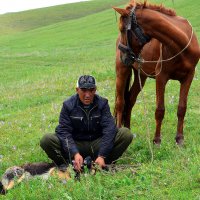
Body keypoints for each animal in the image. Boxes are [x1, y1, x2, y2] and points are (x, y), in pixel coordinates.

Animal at [113, 0, 199, 144]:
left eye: (122, 29)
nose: (123, 57)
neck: (181, 43)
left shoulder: (188, 77)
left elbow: (182, 108)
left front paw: (179, 138)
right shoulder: (161, 77)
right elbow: (160, 110)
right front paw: (157, 140)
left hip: (141, 76)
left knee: (130, 100)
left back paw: (128, 130)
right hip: (122, 72)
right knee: (120, 103)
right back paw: (119, 131)